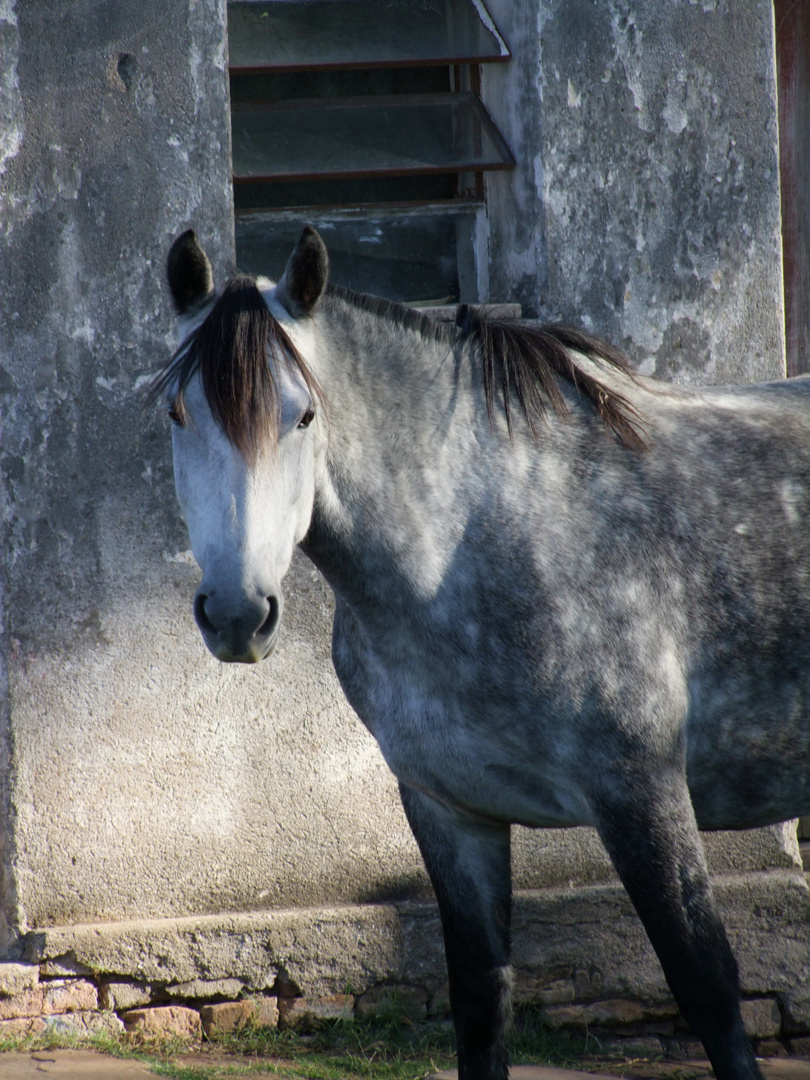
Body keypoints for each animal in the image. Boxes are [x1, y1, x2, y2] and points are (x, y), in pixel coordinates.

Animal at [151, 227, 810, 1080]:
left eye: (303, 417)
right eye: (177, 412)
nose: (238, 614)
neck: (476, 541)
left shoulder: (642, 792)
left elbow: (710, 990)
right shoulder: (450, 811)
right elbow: (480, 999)